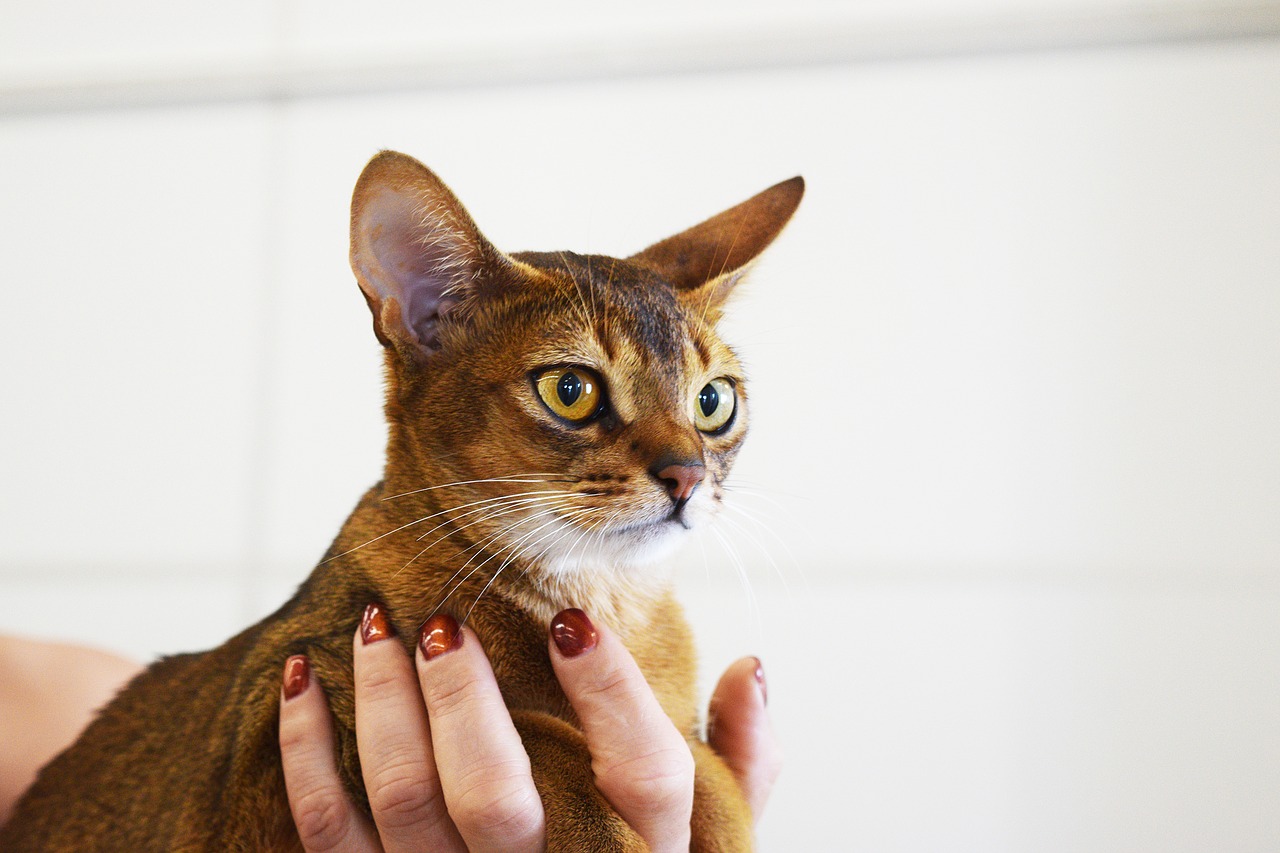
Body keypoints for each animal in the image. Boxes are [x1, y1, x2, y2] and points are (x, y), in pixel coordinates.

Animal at [2, 149, 798, 845]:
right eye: (570, 390)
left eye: (713, 401)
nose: (687, 476)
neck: (607, 604)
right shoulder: (281, 720)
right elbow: (542, 734)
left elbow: (708, 772)